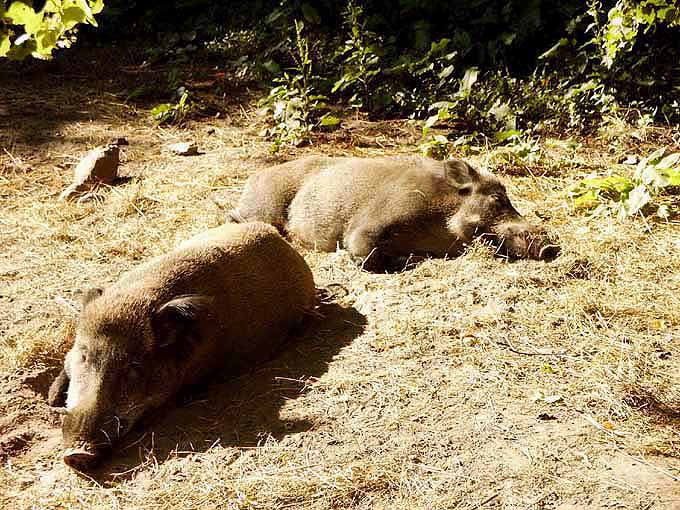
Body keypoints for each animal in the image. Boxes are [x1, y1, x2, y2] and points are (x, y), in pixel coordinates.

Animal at [228, 155, 556, 270]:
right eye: (497, 199)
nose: (551, 247)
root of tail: (255, 175)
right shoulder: (367, 225)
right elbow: (363, 250)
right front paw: (402, 262)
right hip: (263, 208)